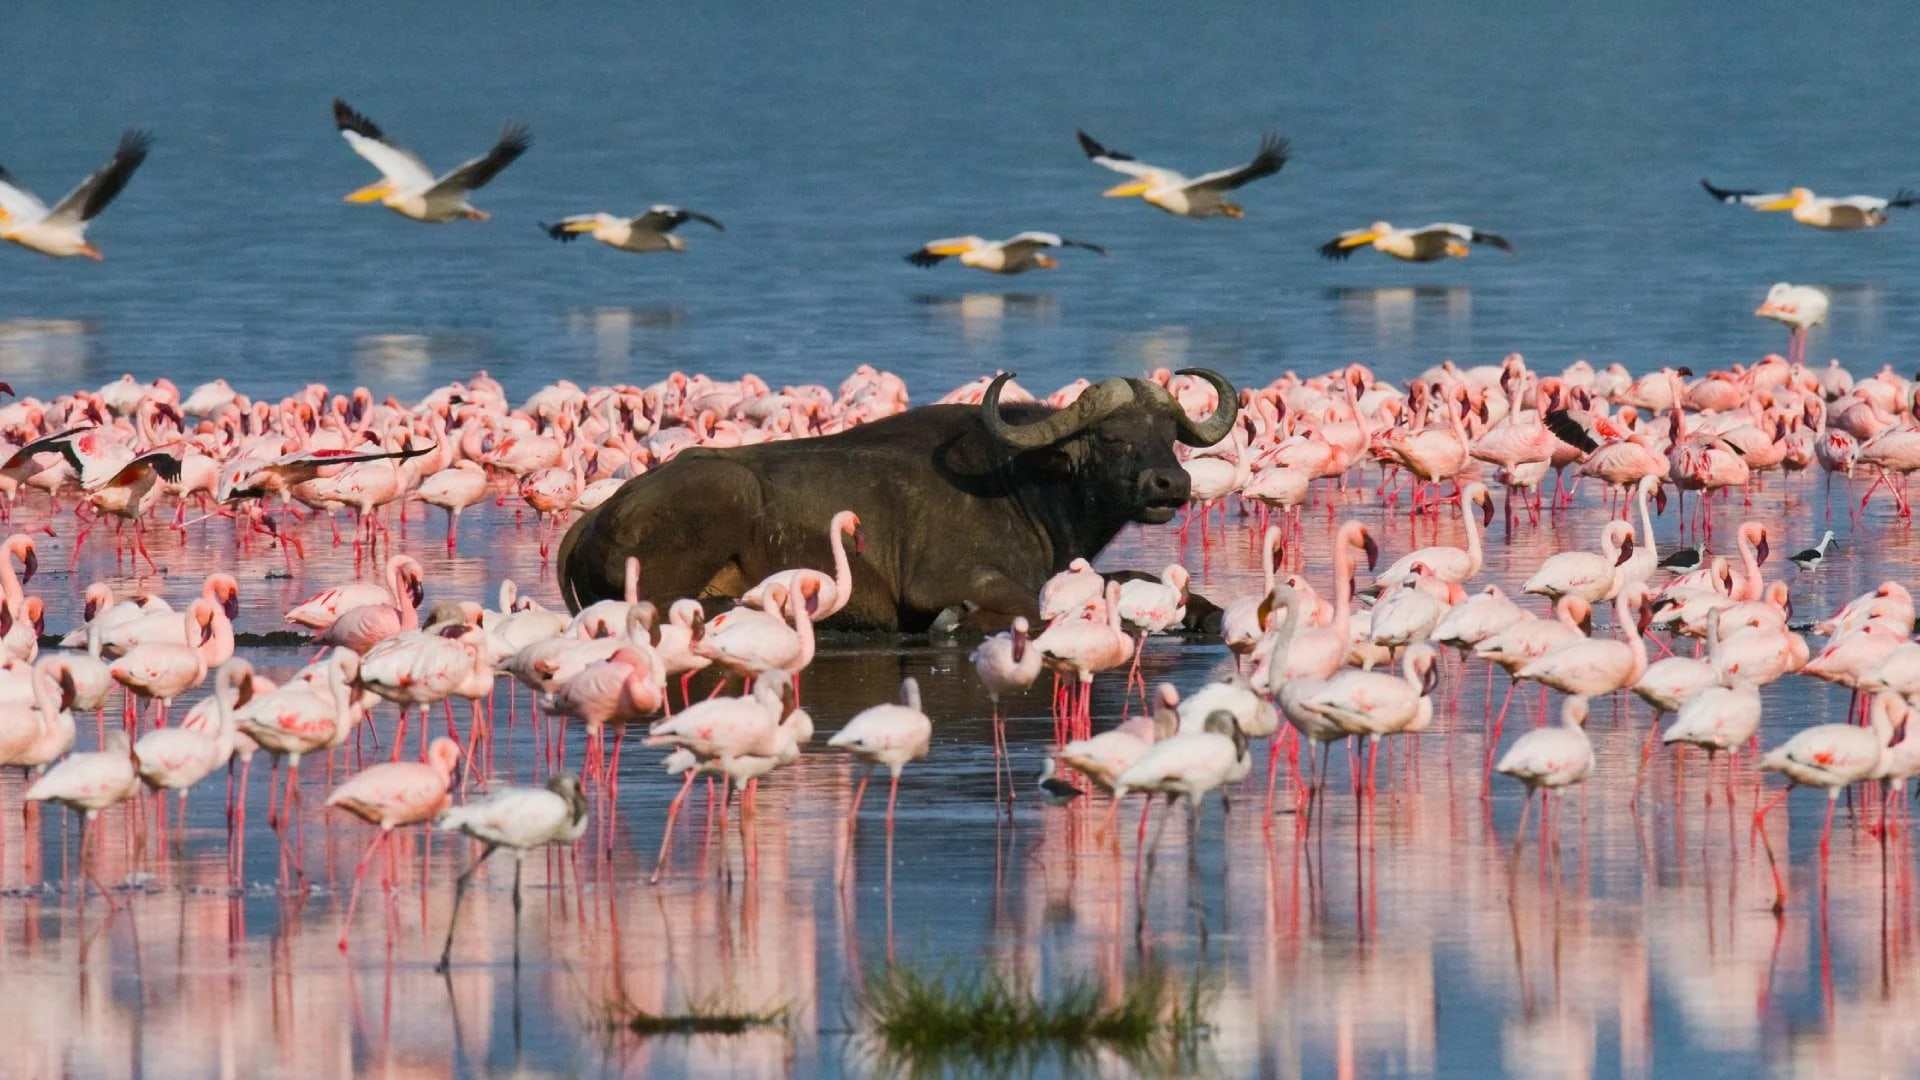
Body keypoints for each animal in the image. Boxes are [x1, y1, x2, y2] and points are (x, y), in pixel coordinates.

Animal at [555, 369, 1237, 631]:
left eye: (1168, 434)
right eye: (1114, 437)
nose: (1171, 486)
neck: (1024, 486)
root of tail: (593, 520)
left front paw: (1203, 611)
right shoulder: (946, 582)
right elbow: (1035, 606)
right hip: (724, 496)